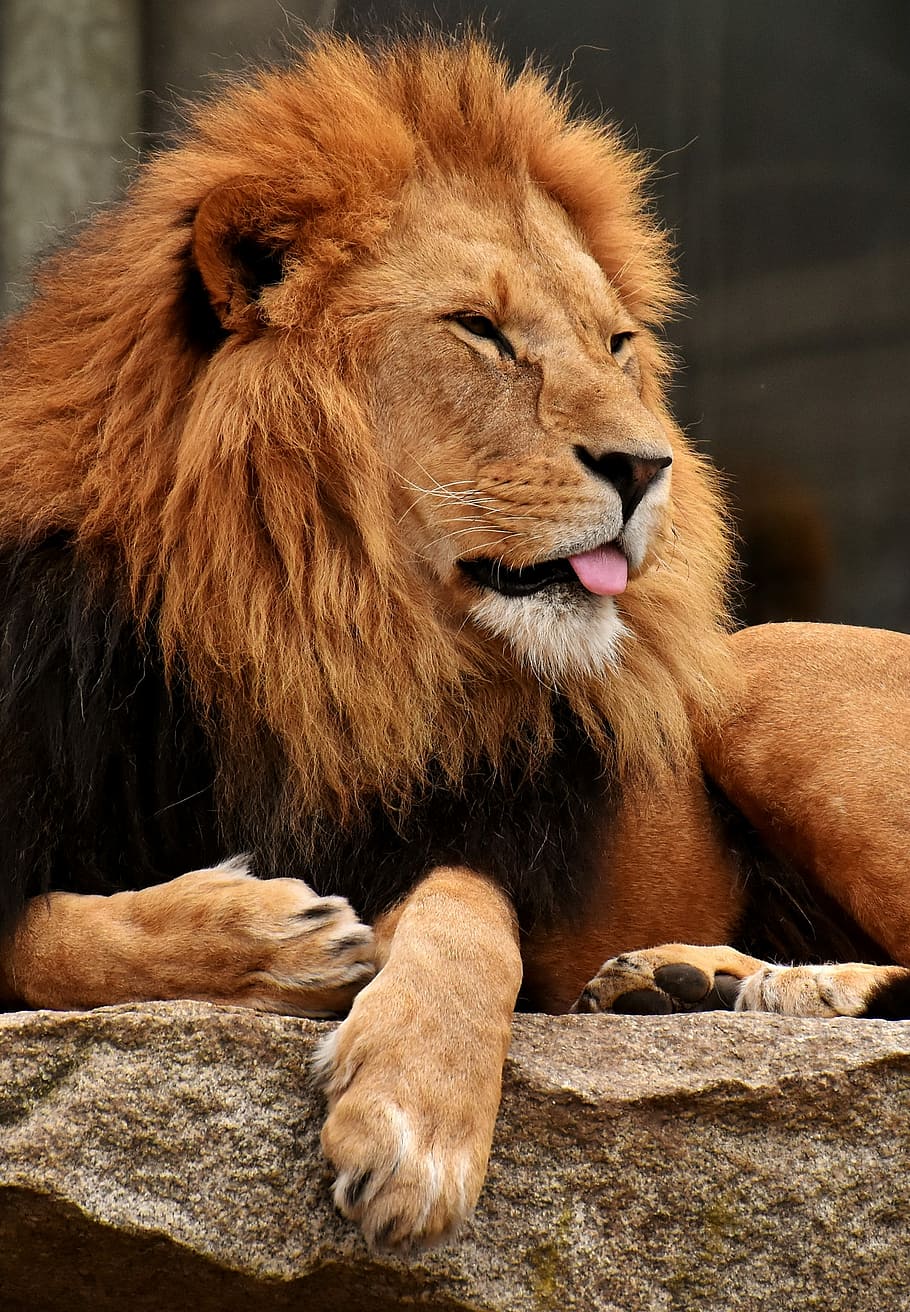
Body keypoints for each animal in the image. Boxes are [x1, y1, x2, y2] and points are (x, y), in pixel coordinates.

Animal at [0, 35, 908, 1251]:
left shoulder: (486, 818)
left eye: (615, 342)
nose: (647, 466)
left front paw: (413, 1117)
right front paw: (270, 940)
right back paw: (693, 984)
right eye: (480, 330)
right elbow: (50, 937)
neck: (302, 626)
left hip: (769, 680)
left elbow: (467, 912)